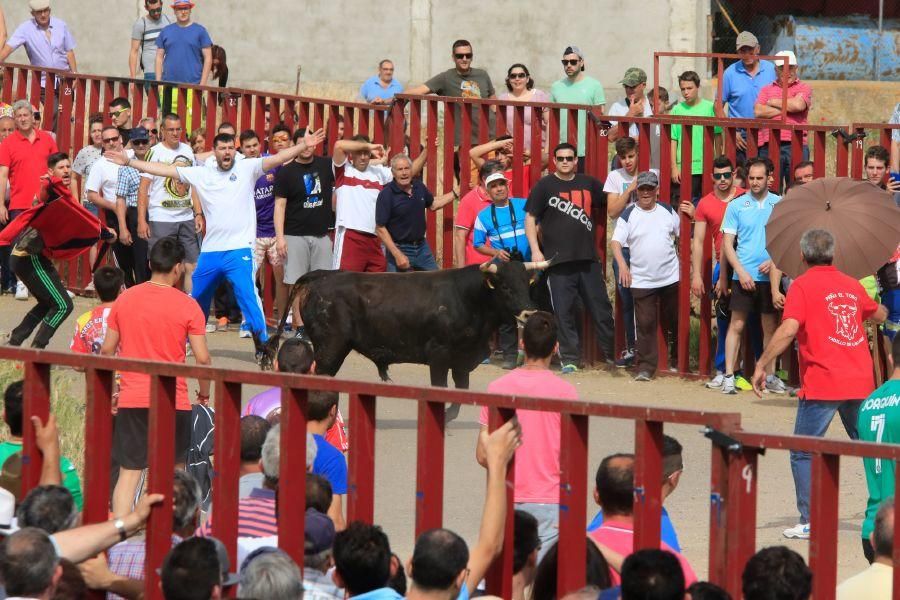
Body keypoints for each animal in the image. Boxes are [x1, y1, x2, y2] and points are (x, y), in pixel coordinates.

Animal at [256, 262, 544, 390]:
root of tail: (322, 275)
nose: (529, 312)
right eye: (505, 287)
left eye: (527, 284)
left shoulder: (463, 361)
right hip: (330, 347)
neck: (470, 297)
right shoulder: (439, 356)